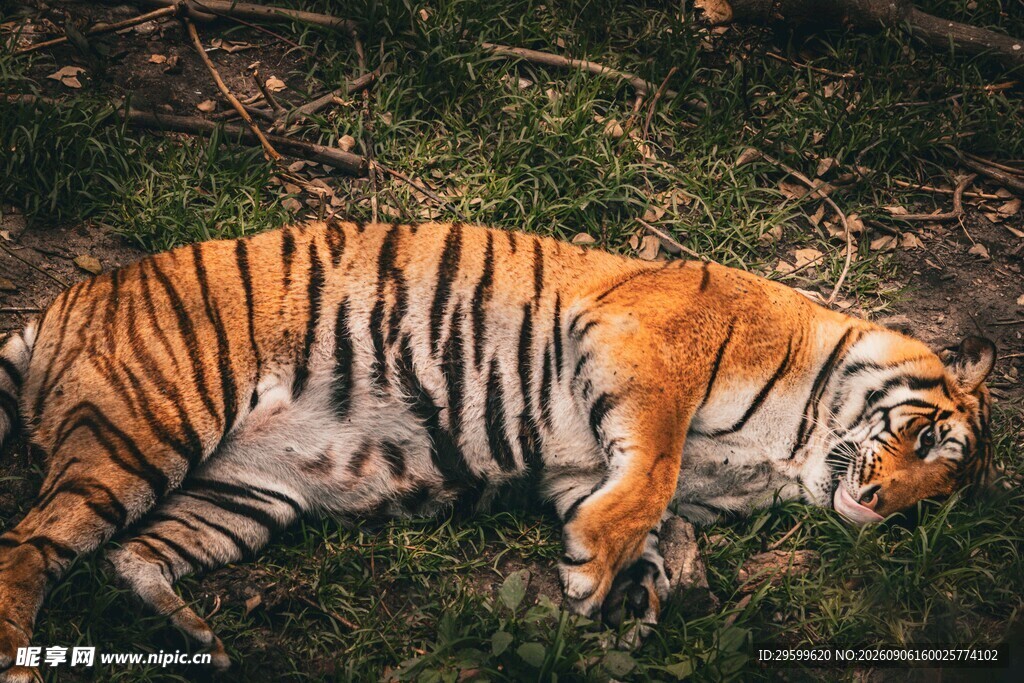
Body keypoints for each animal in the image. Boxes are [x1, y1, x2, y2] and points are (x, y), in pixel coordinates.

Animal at [0, 220, 997, 679]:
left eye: (933, 502)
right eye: (924, 438)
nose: (881, 508)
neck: (792, 457)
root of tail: (64, 302)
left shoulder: (583, 467)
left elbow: (655, 530)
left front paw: (628, 601)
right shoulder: (644, 350)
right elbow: (655, 471)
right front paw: (598, 575)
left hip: (244, 495)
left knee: (130, 556)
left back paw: (196, 637)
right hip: (146, 428)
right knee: (28, 548)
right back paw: (24, 656)